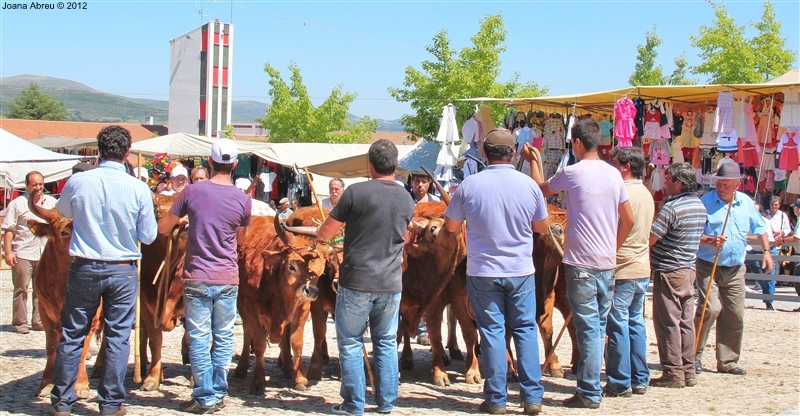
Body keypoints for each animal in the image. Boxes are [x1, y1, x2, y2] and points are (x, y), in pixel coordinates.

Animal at [27, 203, 103, 398]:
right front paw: (47, 383)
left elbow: (83, 347)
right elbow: (52, 346)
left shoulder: (93, 314)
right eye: (64, 232)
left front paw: (81, 384)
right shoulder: (45, 311)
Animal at [234, 214, 328, 394]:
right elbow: (259, 343)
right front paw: (258, 381)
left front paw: (300, 377)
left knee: (284, 337)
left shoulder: (302, 308)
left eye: (320, 272)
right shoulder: (250, 306)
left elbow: (296, 342)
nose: (312, 292)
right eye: (292, 266)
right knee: (247, 331)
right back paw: (241, 367)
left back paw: (288, 367)